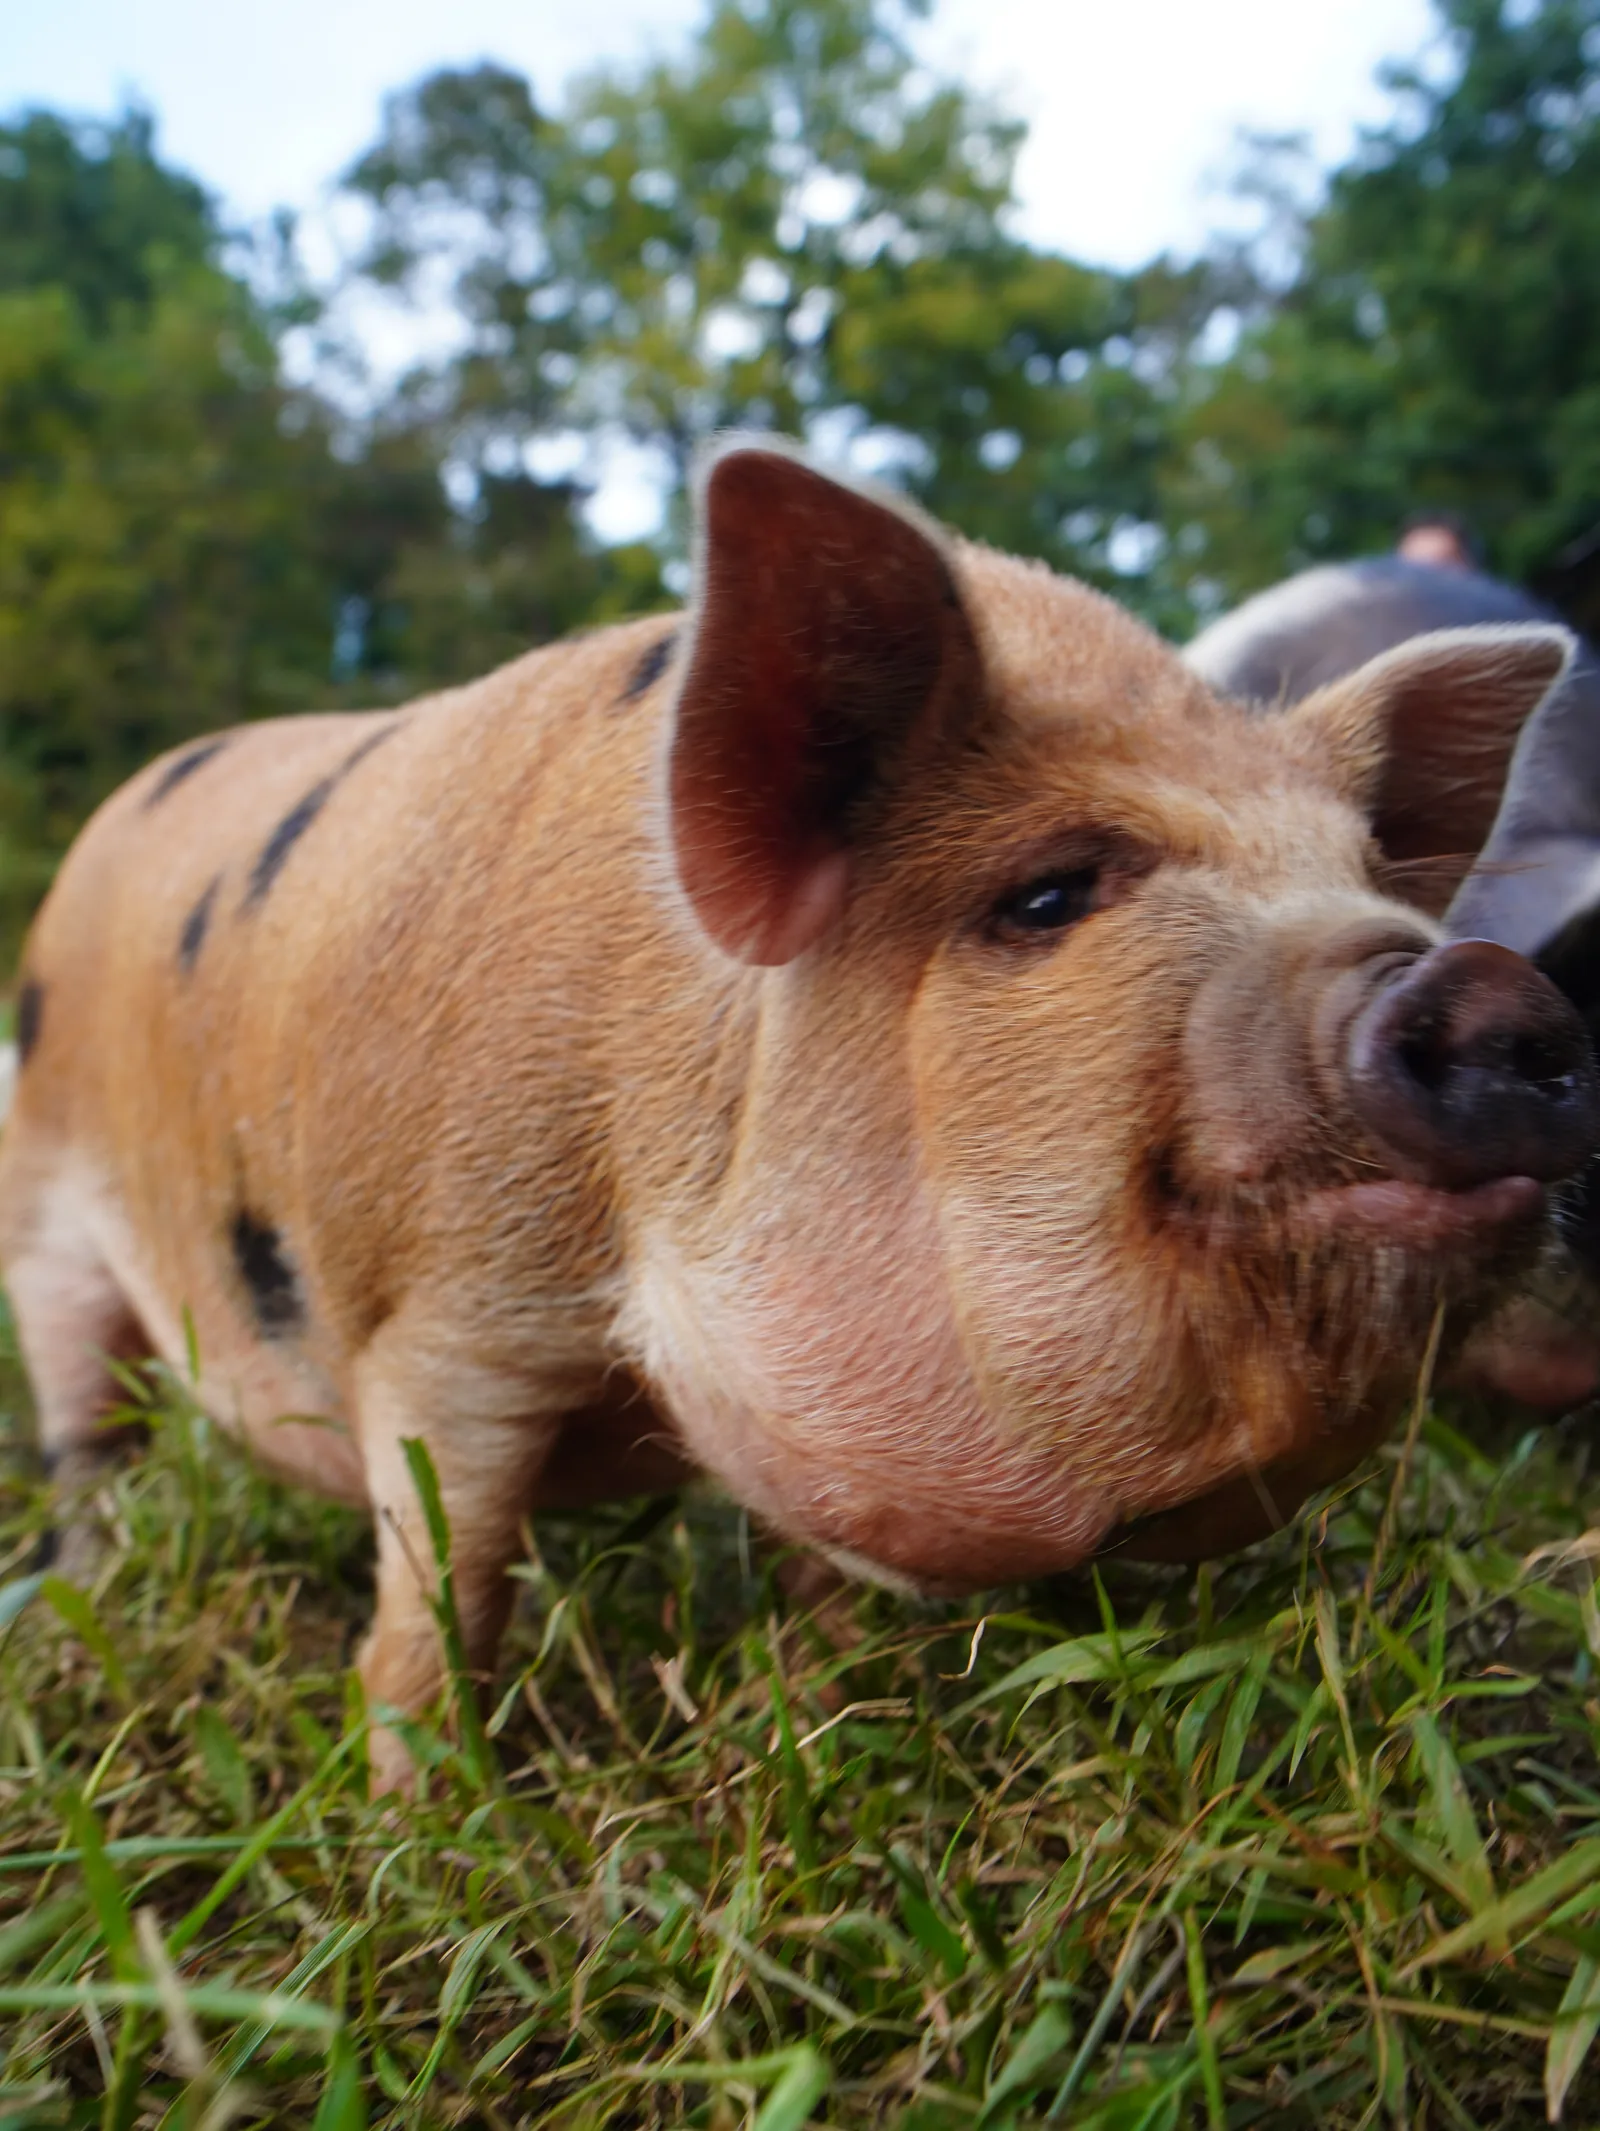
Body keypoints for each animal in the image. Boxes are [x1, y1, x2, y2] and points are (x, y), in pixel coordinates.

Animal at [4, 442, 1596, 1795]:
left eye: (1364, 876)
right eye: (1047, 894)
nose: (1480, 976)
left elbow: (815, 1564)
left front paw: (832, 1697)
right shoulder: (452, 1297)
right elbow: (441, 1576)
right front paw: (424, 1816)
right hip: (48, 1226)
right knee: (90, 1425)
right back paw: (80, 1583)